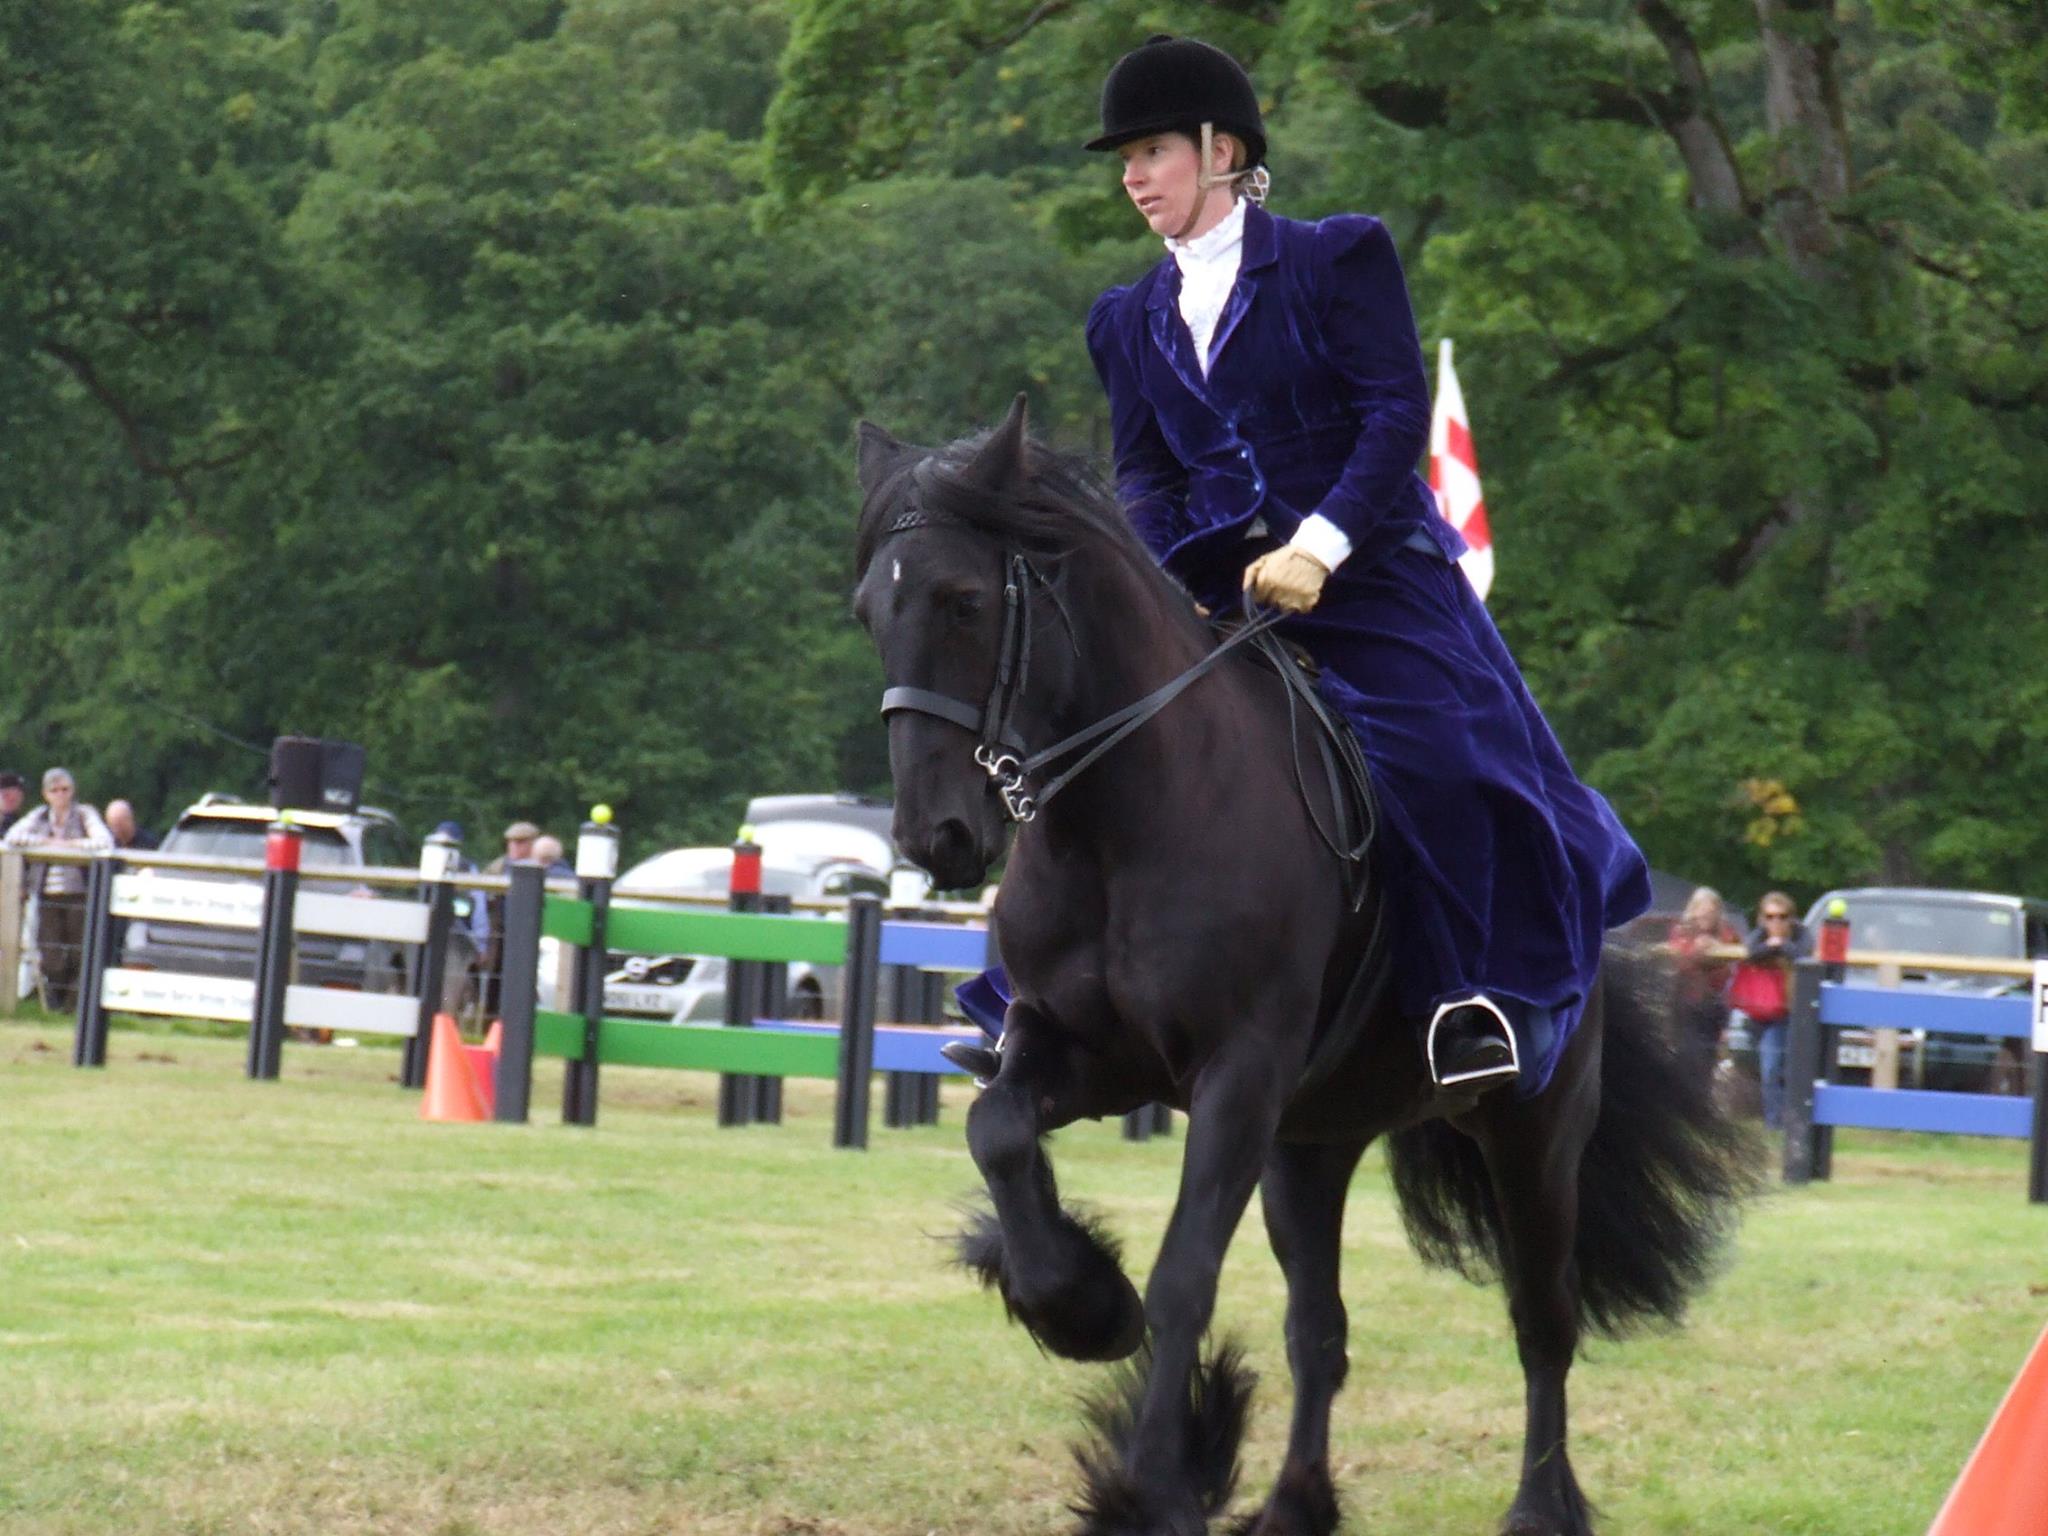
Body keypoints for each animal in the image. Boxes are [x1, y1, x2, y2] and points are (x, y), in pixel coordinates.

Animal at [856, 399, 1753, 1536]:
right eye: (867, 611)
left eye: (963, 601)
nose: (933, 837)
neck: (1124, 822)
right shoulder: (1081, 1058)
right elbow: (997, 1131)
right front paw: (1079, 1305)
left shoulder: (1235, 1077)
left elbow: (1185, 1277)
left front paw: (1150, 1492)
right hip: (1310, 1145)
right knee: (1317, 1329)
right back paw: (1293, 1505)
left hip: (1531, 1132)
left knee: (1540, 1320)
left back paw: (1541, 1508)